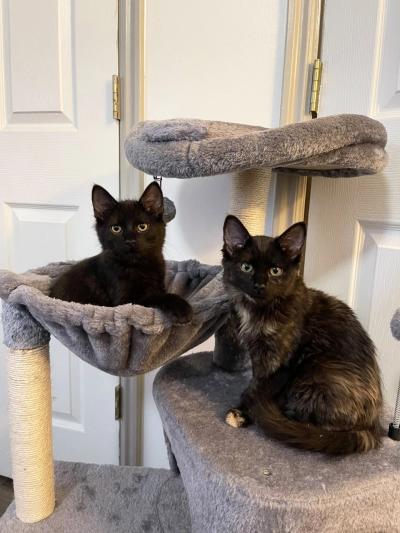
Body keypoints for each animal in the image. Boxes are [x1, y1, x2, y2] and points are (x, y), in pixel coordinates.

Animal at [49, 183, 193, 324]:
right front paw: (181, 307)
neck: (138, 266)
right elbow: (152, 297)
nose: (129, 240)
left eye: (142, 227)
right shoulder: (124, 302)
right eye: (116, 229)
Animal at [223, 215, 382, 454]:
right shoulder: (257, 353)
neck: (258, 311)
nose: (259, 285)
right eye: (246, 267)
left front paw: (243, 412)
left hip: (314, 374)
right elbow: (256, 380)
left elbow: (258, 385)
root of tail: (373, 426)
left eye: (275, 271)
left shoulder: (277, 358)